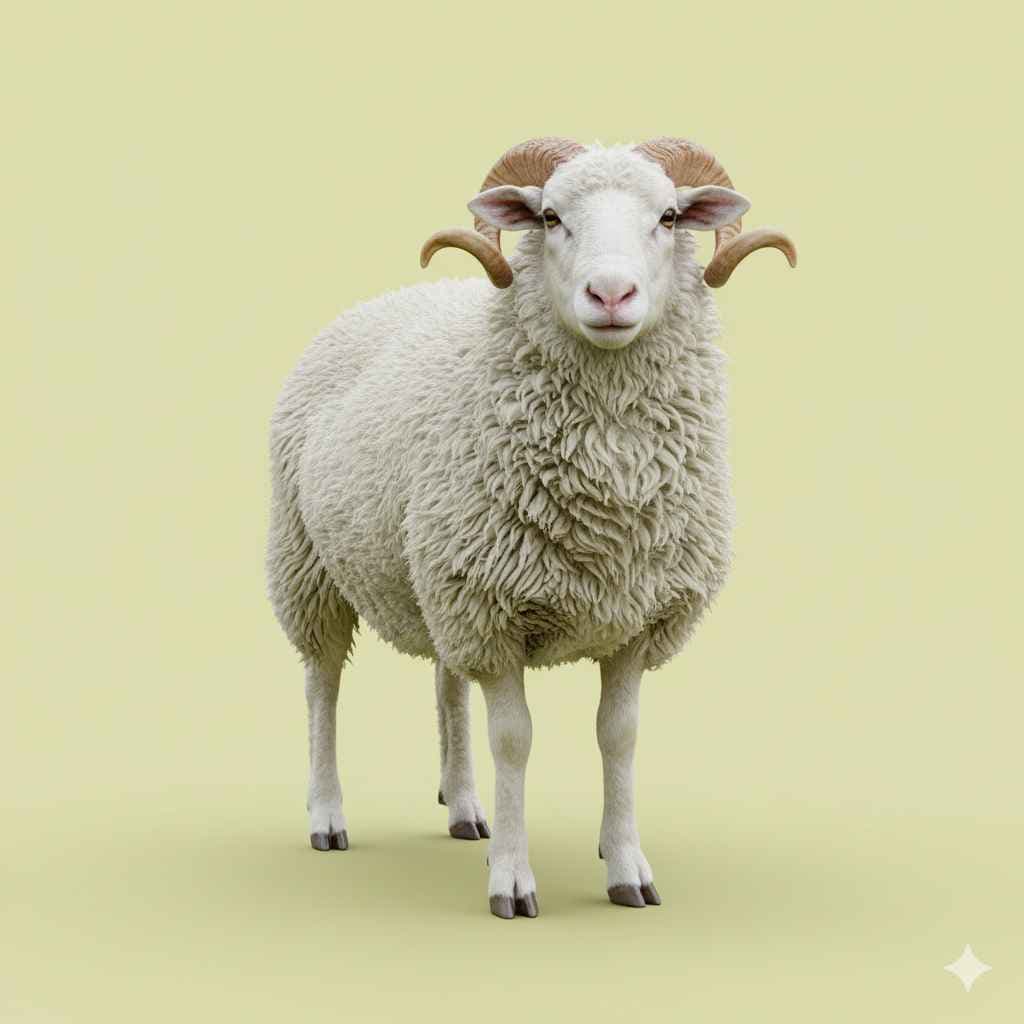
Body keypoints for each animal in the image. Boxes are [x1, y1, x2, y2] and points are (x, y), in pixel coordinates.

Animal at [266, 137, 796, 919]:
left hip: (433, 576)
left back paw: (463, 807)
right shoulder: (493, 614)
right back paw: (327, 815)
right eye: (550, 217)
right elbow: (514, 741)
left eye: (669, 217)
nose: (611, 296)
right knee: (322, 685)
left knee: (446, 686)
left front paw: (626, 864)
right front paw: (512, 881)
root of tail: (384, 300)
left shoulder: (634, 618)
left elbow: (619, 738)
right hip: (310, 566)